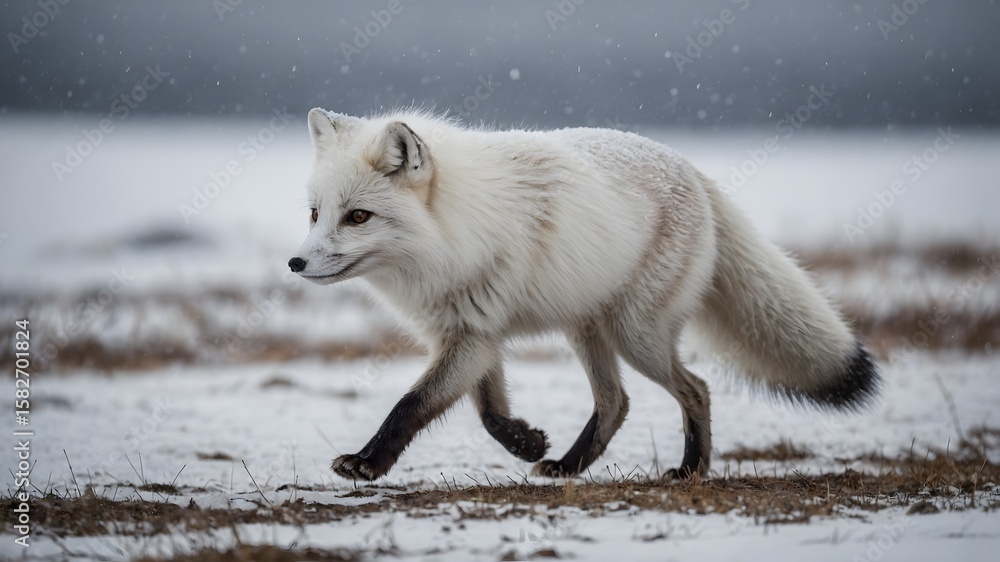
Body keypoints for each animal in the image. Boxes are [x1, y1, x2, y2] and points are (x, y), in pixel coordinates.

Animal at [289, 108, 880, 482]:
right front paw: (527, 441)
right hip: (586, 329)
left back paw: (690, 469)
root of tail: (689, 167)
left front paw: (367, 463)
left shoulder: (471, 334)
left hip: (636, 336)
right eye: (315, 214)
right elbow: (488, 412)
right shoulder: (473, 333)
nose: (295, 263)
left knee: (696, 390)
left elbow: (409, 405)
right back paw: (569, 466)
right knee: (616, 403)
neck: (456, 232)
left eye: (358, 217)